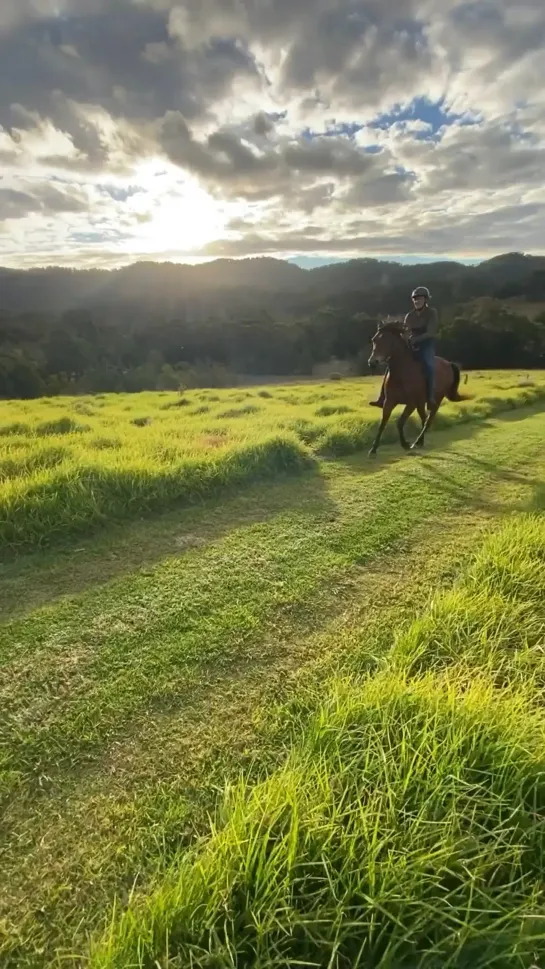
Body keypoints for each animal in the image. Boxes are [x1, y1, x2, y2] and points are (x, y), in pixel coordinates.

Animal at [364, 318, 466, 454]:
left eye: (386, 339)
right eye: (374, 339)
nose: (372, 362)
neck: (403, 372)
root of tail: (448, 363)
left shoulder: (411, 403)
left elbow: (400, 422)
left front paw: (405, 444)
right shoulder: (389, 401)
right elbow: (383, 423)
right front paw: (373, 450)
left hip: (435, 400)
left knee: (428, 420)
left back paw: (416, 442)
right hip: (421, 403)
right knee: (424, 418)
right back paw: (420, 442)